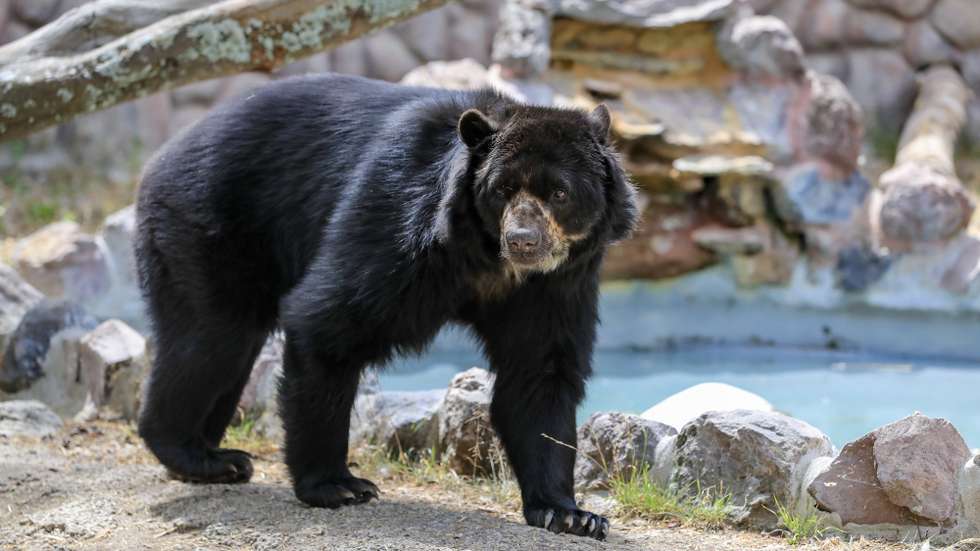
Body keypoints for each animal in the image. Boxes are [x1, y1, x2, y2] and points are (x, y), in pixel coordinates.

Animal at [134, 73, 637, 541]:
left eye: (560, 193)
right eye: (502, 190)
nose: (523, 241)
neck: (488, 261)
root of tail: (163, 155)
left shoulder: (554, 285)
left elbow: (539, 373)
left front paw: (570, 514)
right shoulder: (398, 227)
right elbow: (326, 321)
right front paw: (337, 485)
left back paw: (211, 455)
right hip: (209, 226)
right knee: (210, 341)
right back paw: (198, 454)